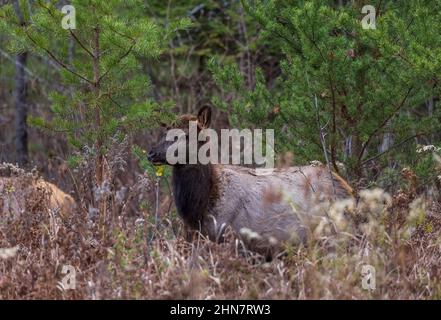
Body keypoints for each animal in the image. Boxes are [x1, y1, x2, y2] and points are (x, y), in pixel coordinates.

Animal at [147, 106, 350, 256]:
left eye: (186, 135)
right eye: (164, 132)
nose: (151, 153)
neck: (200, 207)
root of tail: (348, 190)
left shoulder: (236, 241)